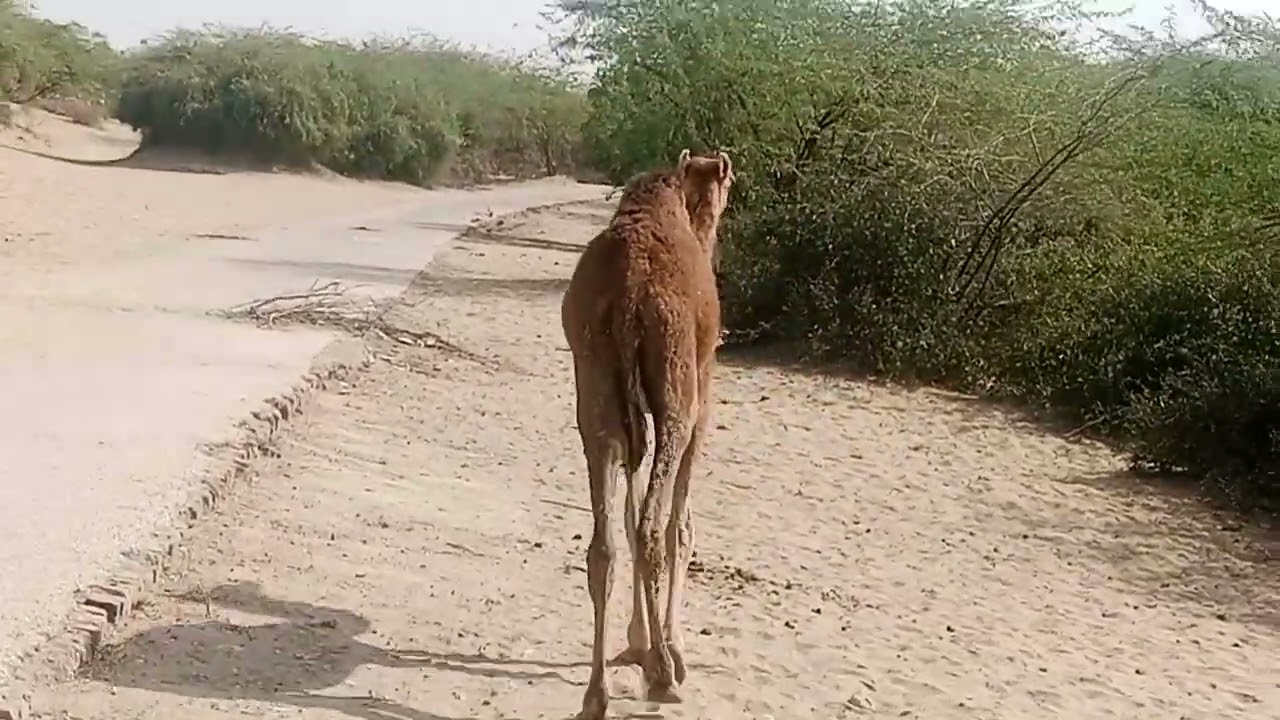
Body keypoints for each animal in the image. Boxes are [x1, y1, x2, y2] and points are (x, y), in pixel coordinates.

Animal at [560, 148, 735, 720]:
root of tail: (630, 294)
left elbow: (630, 510)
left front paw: (637, 643)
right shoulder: (702, 391)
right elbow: (681, 526)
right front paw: (671, 650)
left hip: (594, 386)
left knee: (607, 542)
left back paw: (596, 694)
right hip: (677, 390)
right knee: (654, 528)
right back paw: (663, 675)